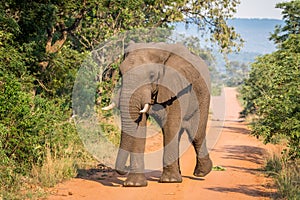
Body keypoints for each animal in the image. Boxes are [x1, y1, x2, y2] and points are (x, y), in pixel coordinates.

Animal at [102, 42, 212, 188]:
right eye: (120, 73)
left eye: (152, 75)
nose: (124, 169)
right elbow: (140, 125)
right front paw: (134, 184)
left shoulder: (177, 86)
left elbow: (171, 124)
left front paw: (169, 181)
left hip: (204, 95)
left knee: (195, 133)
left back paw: (201, 173)